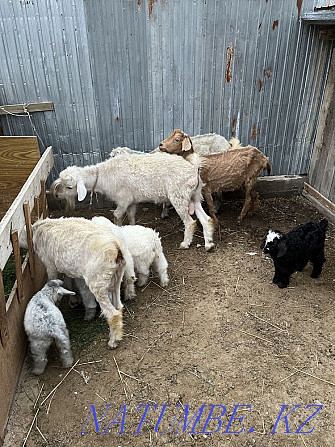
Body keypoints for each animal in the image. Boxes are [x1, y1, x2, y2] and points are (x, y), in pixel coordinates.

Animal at [28, 217, 129, 350]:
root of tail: (116, 248)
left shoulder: (50, 264)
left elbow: (53, 279)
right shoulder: (66, 268)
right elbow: (67, 283)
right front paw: (73, 300)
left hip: (98, 280)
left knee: (112, 314)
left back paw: (113, 341)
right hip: (117, 276)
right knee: (118, 306)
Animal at [50, 152, 215, 252]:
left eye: (69, 187)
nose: (56, 195)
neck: (104, 175)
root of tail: (194, 169)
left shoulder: (123, 199)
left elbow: (117, 215)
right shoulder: (132, 201)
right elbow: (131, 216)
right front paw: (133, 230)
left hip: (179, 196)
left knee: (190, 222)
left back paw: (185, 244)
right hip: (194, 195)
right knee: (205, 218)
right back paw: (208, 244)